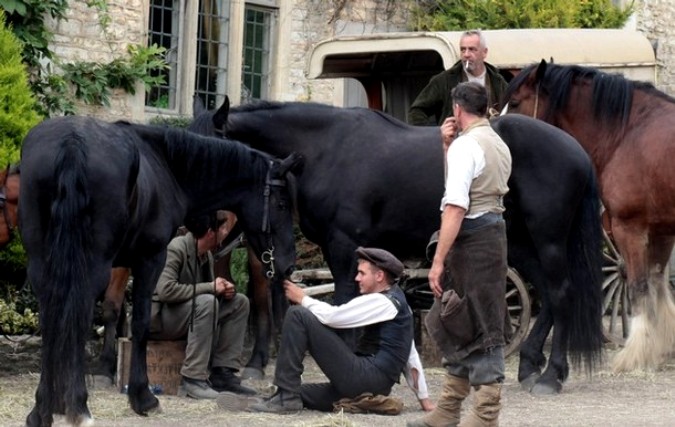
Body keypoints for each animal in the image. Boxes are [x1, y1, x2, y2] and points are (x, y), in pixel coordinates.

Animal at [18, 115, 302, 426]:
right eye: (282, 203)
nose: (287, 263)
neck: (166, 165)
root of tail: (73, 142)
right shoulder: (150, 258)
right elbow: (140, 323)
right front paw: (142, 396)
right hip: (91, 264)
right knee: (77, 316)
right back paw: (78, 405)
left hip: (42, 262)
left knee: (52, 321)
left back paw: (43, 409)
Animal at [191, 101, 608, 398]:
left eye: (214, 151)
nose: (202, 222)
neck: (326, 149)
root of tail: (578, 152)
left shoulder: (343, 245)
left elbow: (346, 303)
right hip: (521, 244)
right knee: (550, 297)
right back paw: (531, 366)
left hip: (548, 239)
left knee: (561, 293)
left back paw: (550, 376)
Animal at [504, 59, 675, 372]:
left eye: (516, 101)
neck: (629, 131)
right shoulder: (660, 230)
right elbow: (656, 284)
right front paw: (659, 347)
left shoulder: (629, 228)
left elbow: (637, 287)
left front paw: (634, 353)